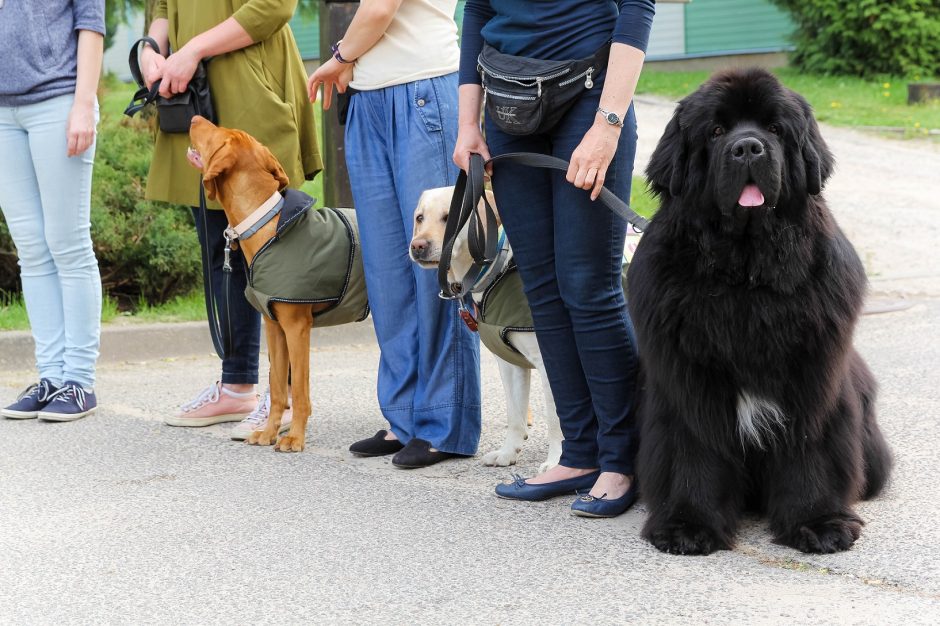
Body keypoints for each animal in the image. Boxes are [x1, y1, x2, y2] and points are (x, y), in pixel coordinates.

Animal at [187, 114, 326, 450]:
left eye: (218, 134)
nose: (195, 117)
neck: (267, 224)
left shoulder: (297, 328)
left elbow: (298, 389)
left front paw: (295, 437)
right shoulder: (274, 327)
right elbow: (277, 386)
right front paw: (268, 432)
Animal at [408, 188, 560, 470]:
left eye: (450, 217)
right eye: (420, 217)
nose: (417, 246)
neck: (499, 270)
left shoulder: (550, 361)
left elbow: (556, 417)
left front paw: (557, 463)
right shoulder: (510, 364)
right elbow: (514, 413)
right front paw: (508, 453)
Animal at [628, 69, 892, 556]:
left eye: (774, 129)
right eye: (715, 131)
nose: (748, 147)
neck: (746, 275)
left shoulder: (811, 382)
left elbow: (809, 450)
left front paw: (818, 521)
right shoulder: (688, 384)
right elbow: (693, 449)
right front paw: (688, 525)